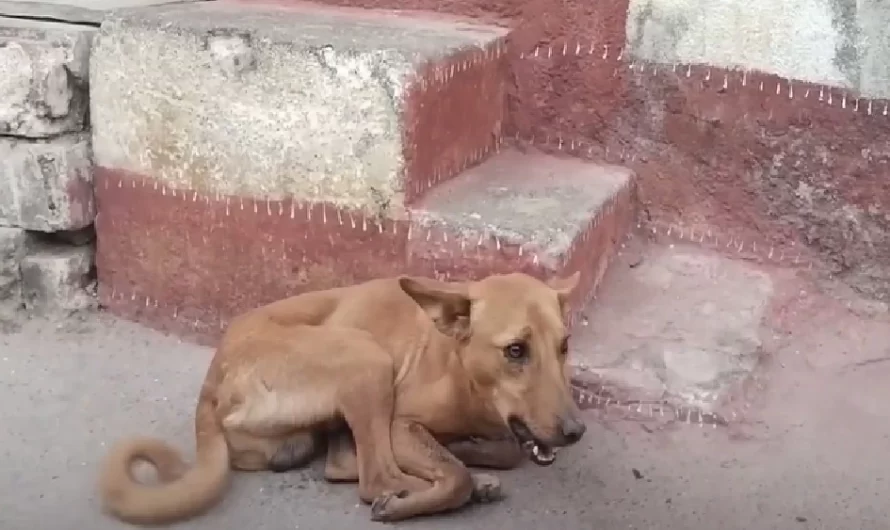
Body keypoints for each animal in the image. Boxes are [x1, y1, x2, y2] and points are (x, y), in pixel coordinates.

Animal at [99, 274, 584, 520]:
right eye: (515, 351)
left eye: (564, 346)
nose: (576, 431)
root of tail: (214, 377)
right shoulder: (401, 423)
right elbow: (455, 472)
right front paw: (452, 473)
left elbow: (505, 450)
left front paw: (467, 451)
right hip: (366, 357)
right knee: (375, 479)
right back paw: (416, 494)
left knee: (343, 462)